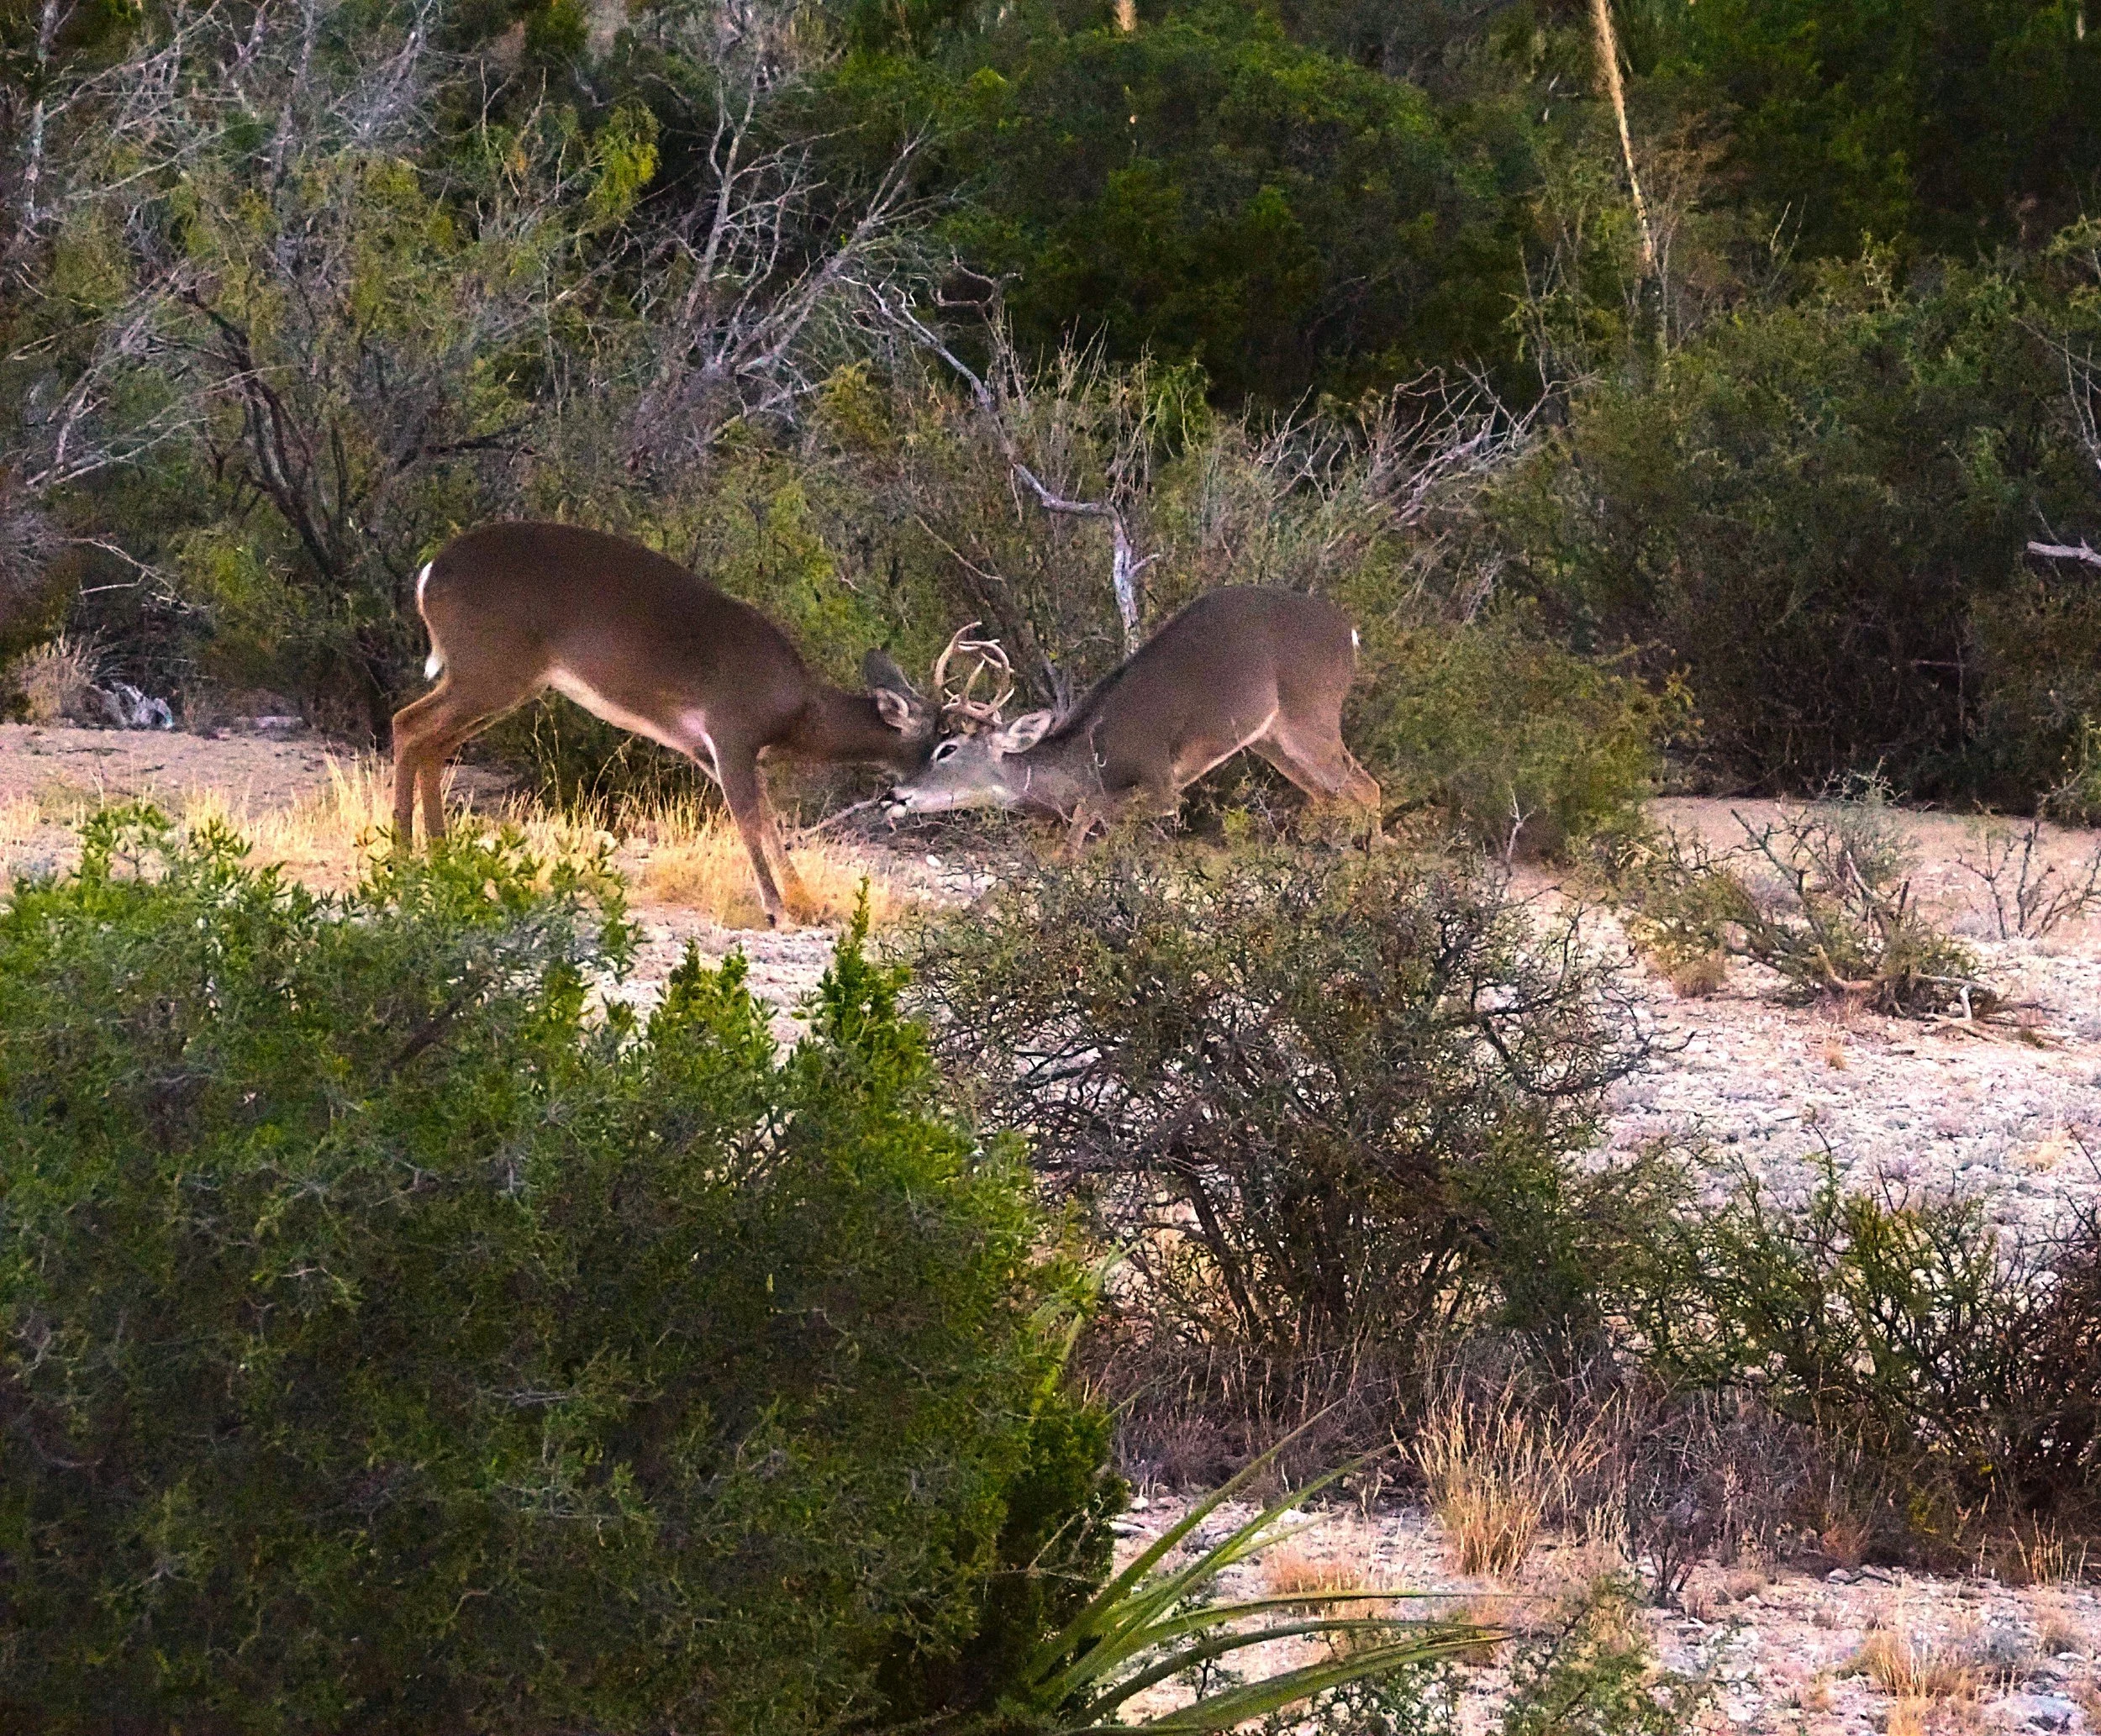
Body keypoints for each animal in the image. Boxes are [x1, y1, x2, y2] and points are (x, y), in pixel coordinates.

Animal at [391, 520, 987, 926]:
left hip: (501, 680)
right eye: (944, 742)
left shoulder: (708, 748)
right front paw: (777, 909)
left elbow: (767, 819)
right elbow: (749, 819)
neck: (796, 708)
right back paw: (403, 853)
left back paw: (438, 856)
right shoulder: (733, 729)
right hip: (491, 669)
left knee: (430, 740)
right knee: (408, 724)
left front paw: (801, 899)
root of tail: (428, 575)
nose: (907, 796)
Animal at [882, 586, 1381, 849]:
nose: (893, 795)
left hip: (1311, 714)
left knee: (1366, 788)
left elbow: (1086, 813)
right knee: (1336, 796)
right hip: (1271, 739)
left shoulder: (1162, 784)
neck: (1087, 758)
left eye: (947, 749)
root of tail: (1351, 633)